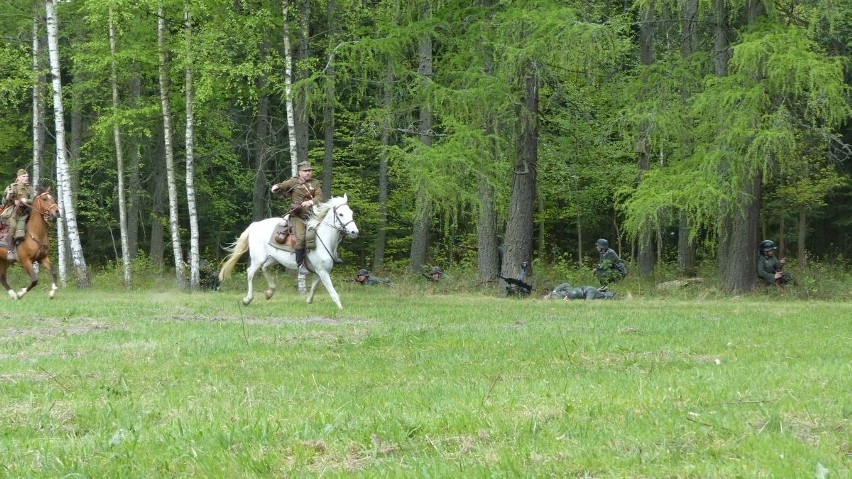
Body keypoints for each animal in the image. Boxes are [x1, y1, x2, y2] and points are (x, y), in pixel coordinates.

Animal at [218, 197, 358, 310]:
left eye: (351, 213)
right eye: (341, 214)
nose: (354, 232)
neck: (322, 239)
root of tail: (254, 225)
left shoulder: (320, 272)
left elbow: (313, 287)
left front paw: (308, 301)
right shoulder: (322, 272)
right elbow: (332, 292)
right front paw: (340, 307)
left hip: (272, 259)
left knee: (265, 269)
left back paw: (269, 292)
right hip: (258, 259)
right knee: (250, 273)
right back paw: (247, 299)